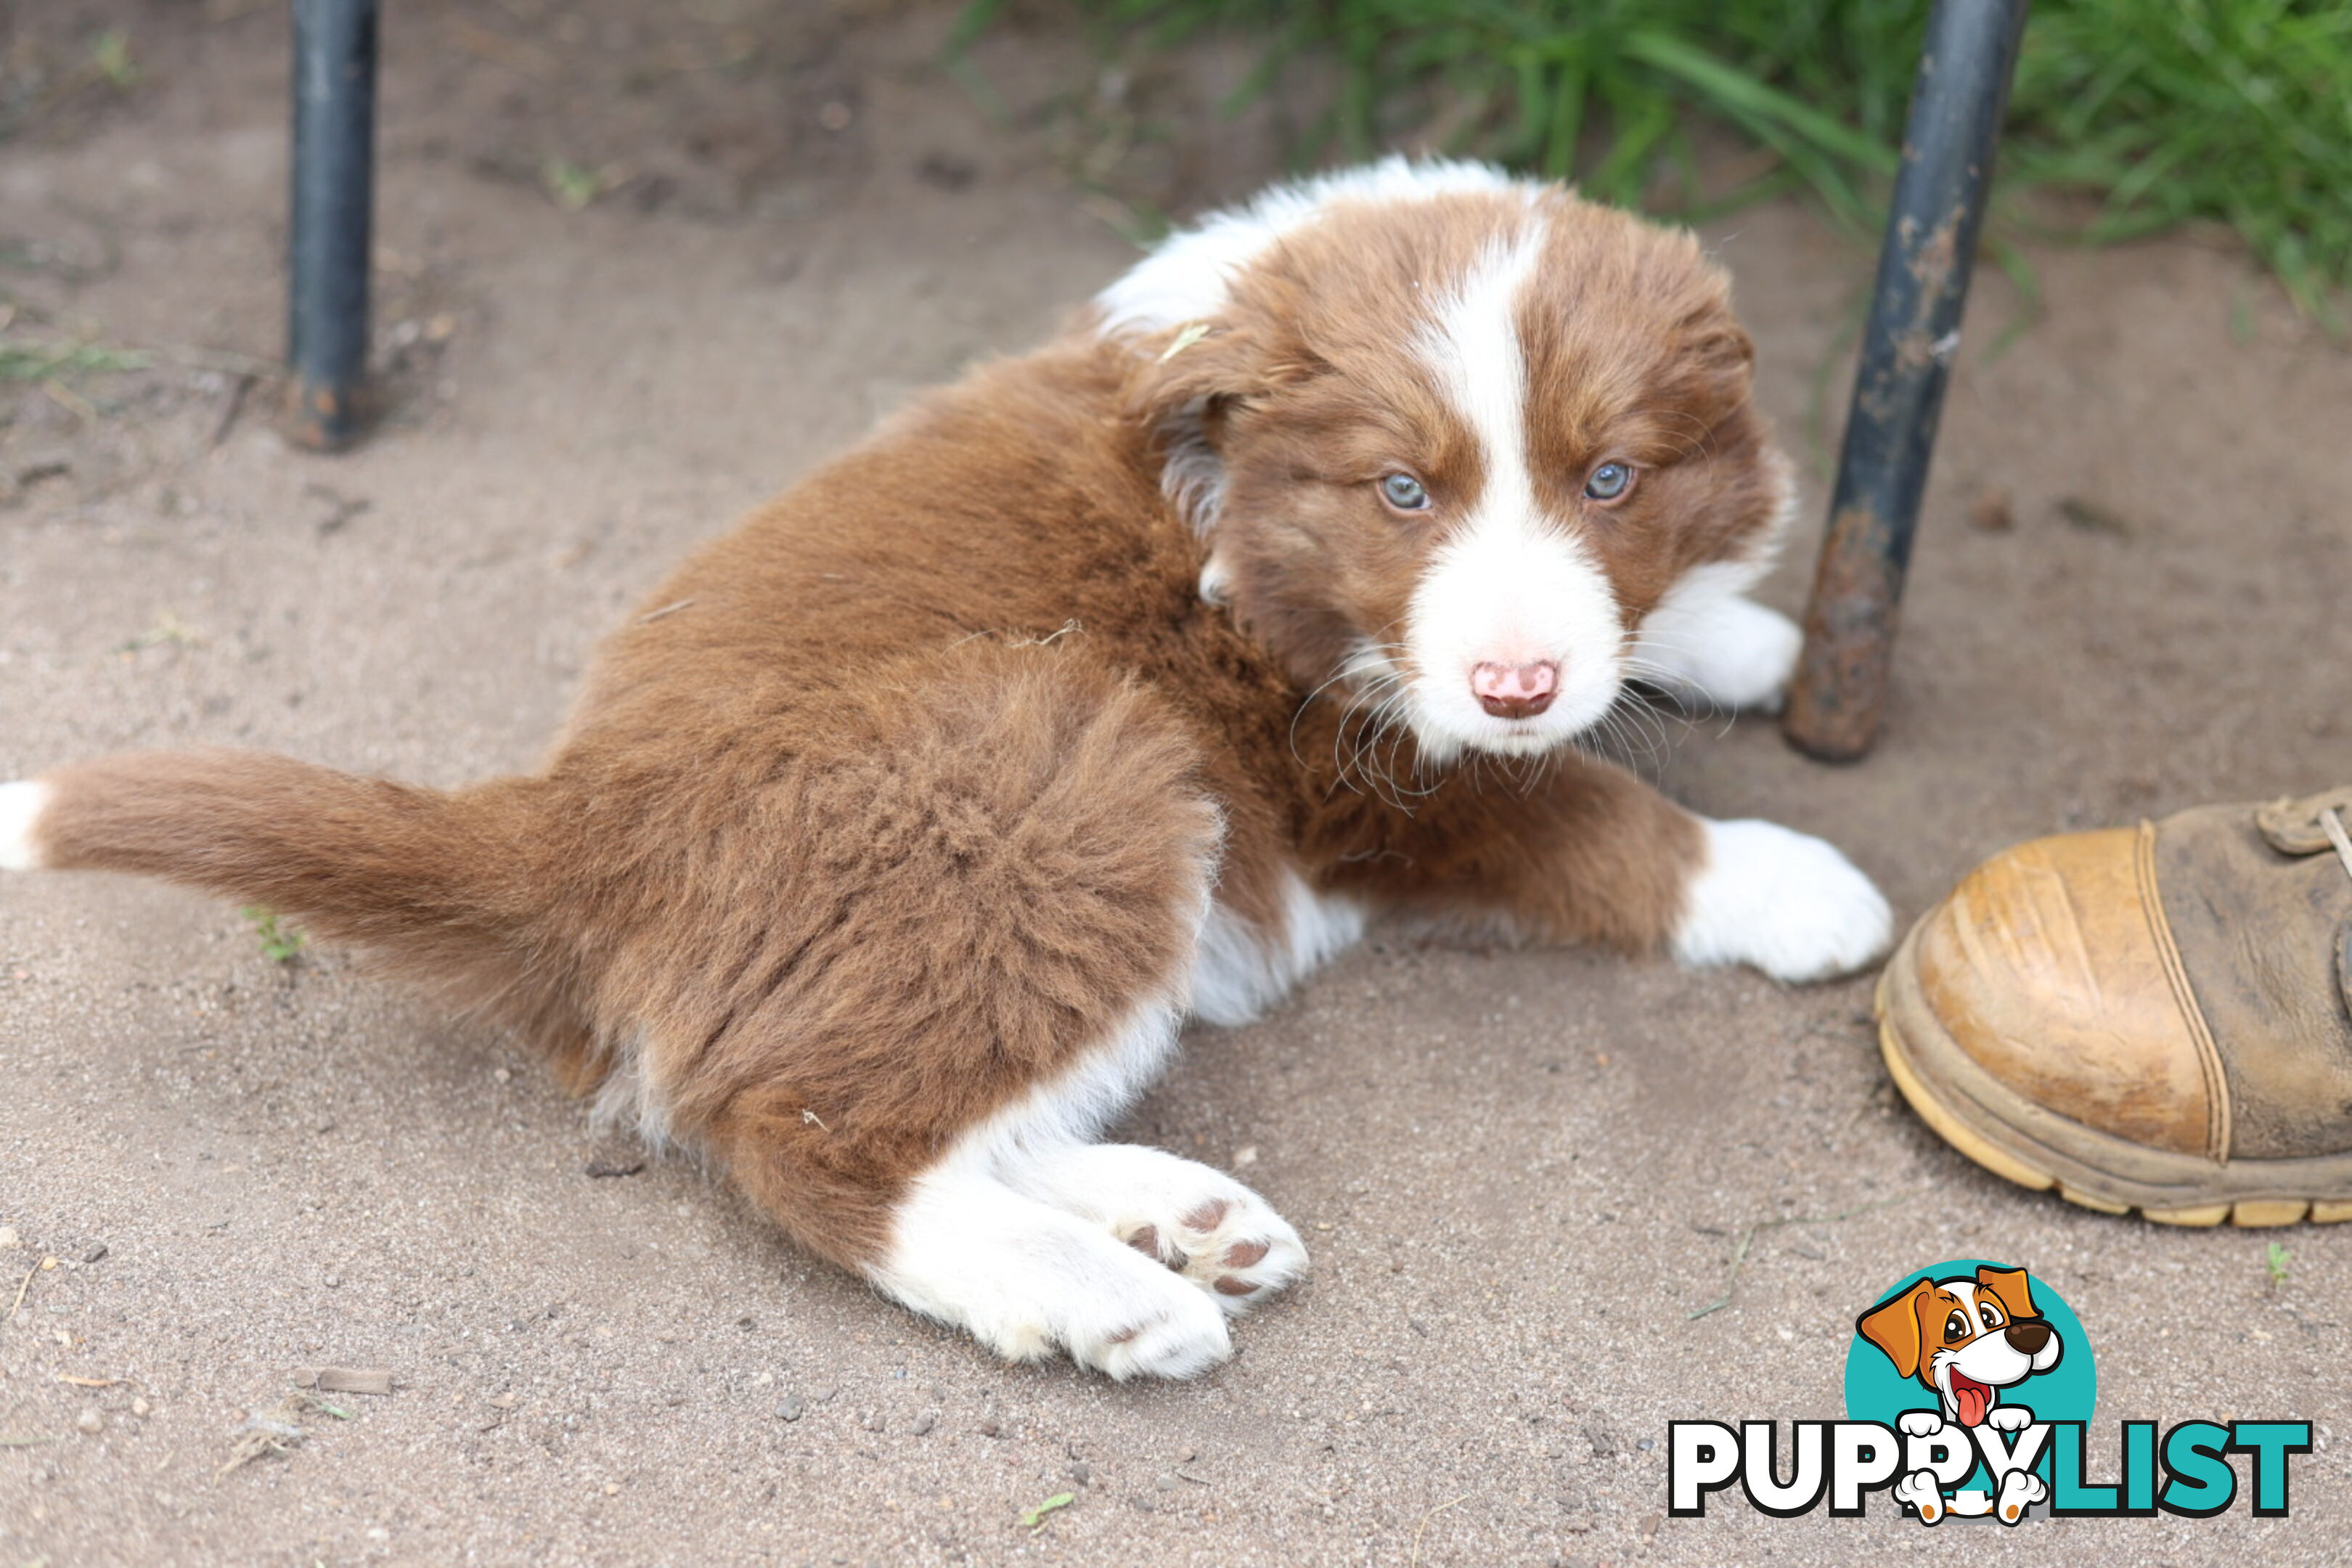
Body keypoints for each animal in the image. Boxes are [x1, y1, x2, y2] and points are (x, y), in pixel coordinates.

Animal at [0, 166, 1890, 1382]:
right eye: (1402, 494)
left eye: (1611, 476)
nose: (1515, 678)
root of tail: (569, 822)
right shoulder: (1368, 769)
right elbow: (1588, 811)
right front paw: (1793, 884)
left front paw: (1730, 634)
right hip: (1066, 772)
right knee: (799, 1129)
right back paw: (1108, 1300)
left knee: (870, 1084)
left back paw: (1176, 1217)